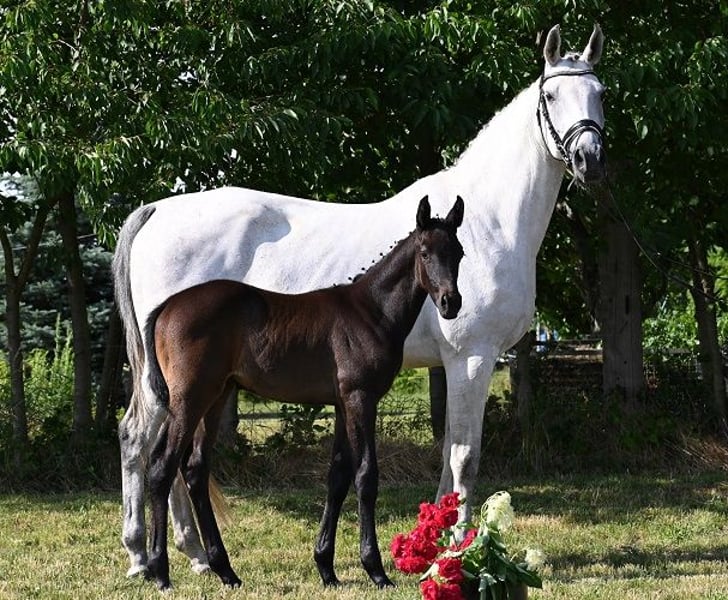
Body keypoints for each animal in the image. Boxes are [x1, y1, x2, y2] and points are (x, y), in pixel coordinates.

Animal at [143, 196, 464, 590]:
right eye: (424, 253)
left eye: (459, 252)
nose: (451, 303)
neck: (371, 312)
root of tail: (166, 307)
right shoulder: (361, 399)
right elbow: (366, 476)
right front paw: (375, 570)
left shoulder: (342, 405)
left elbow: (338, 478)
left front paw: (326, 567)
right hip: (190, 398)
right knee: (162, 467)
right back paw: (160, 572)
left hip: (214, 399)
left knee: (194, 470)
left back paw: (226, 571)